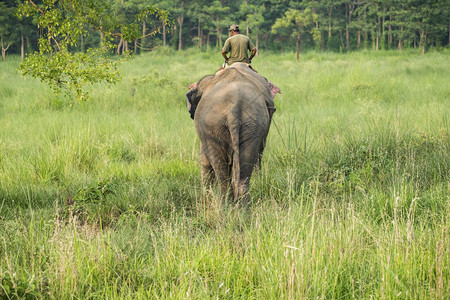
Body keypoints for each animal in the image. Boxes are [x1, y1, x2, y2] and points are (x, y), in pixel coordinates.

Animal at [185, 62, 278, 204]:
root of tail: (233, 108)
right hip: (251, 125)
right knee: (244, 168)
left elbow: (205, 162)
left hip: (213, 127)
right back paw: (241, 206)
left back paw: (225, 205)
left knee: (220, 170)